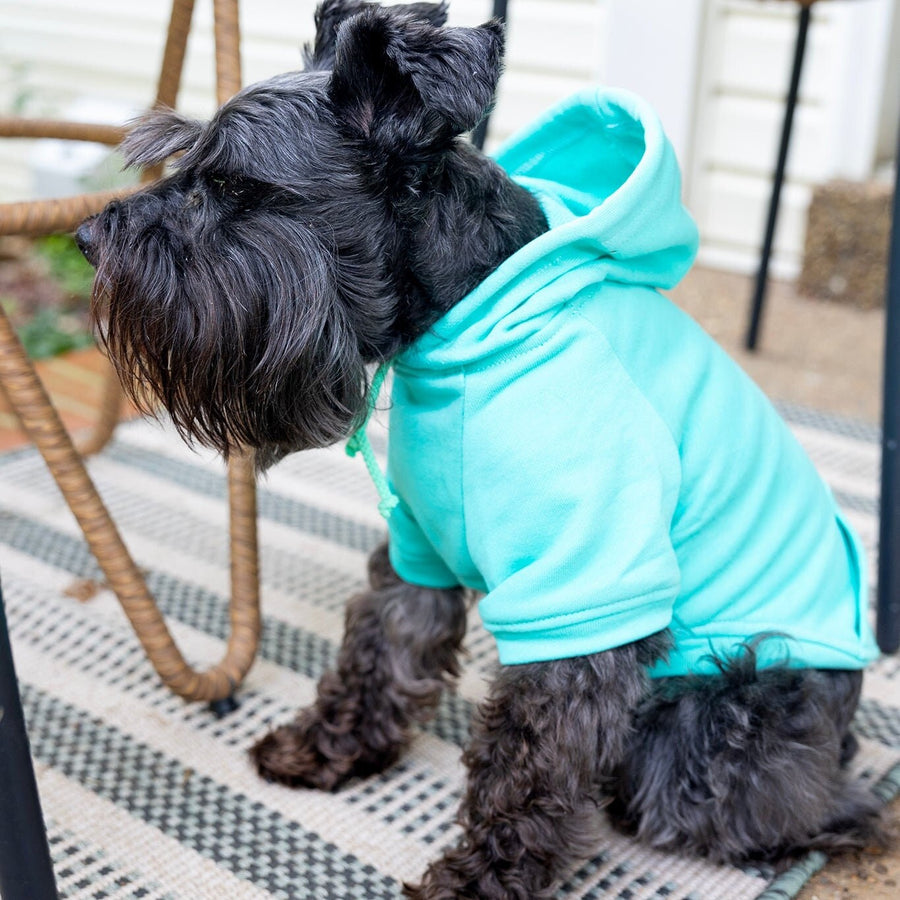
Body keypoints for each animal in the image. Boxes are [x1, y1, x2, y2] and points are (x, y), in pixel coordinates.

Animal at [75, 1, 880, 900]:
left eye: (234, 188)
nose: (86, 237)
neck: (460, 318)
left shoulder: (585, 596)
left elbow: (530, 763)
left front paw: (485, 876)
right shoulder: (419, 545)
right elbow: (382, 646)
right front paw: (331, 747)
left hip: (719, 709)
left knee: (785, 802)